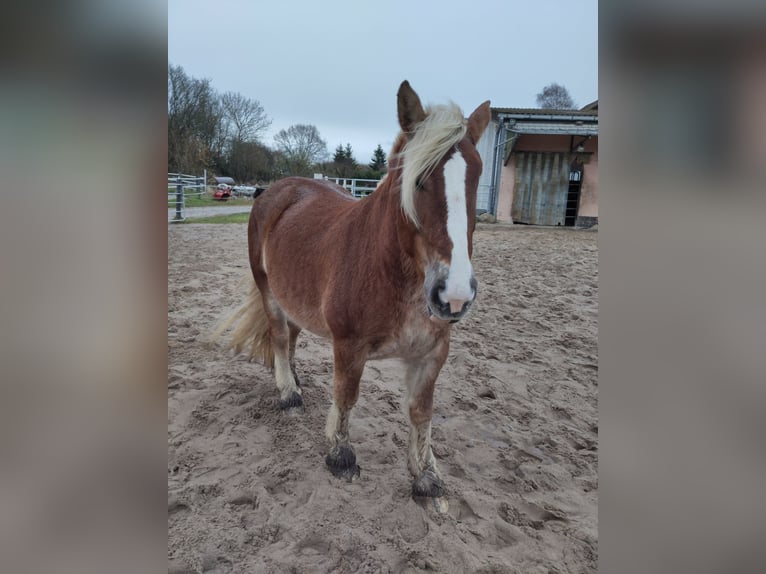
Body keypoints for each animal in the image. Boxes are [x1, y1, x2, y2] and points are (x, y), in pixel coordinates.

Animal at [222, 82, 492, 504]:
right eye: (418, 180)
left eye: (476, 178)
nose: (455, 295)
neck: (398, 281)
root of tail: (276, 189)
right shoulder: (348, 346)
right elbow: (346, 397)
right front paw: (340, 455)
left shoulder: (432, 355)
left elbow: (421, 412)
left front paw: (426, 476)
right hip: (268, 290)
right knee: (280, 338)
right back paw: (288, 394)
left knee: (292, 337)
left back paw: (295, 380)